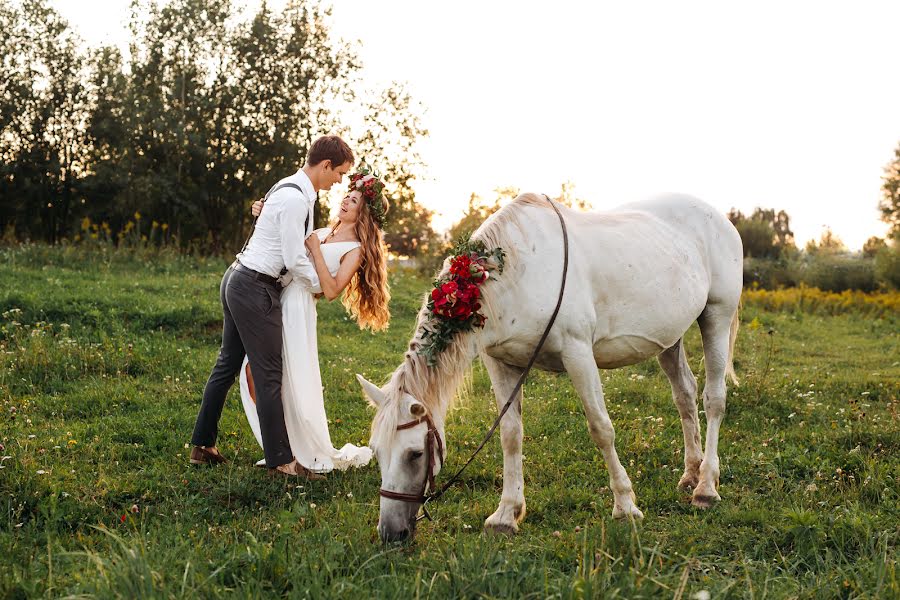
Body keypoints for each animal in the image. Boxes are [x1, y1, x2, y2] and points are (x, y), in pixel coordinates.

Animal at [356, 195, 740, 540]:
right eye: (376, 452)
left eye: (415, 453)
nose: (390, 533)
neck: (512, 274)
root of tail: (719, 218)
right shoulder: (502, 363)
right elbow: (511, 435)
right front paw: (506, 514)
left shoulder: (578, 352)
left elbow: (601, 428)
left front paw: (626, 506)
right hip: (670, 338)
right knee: (685, 395)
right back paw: (691, 474)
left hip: (716, 318)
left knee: (713, 399)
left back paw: (706, 487)